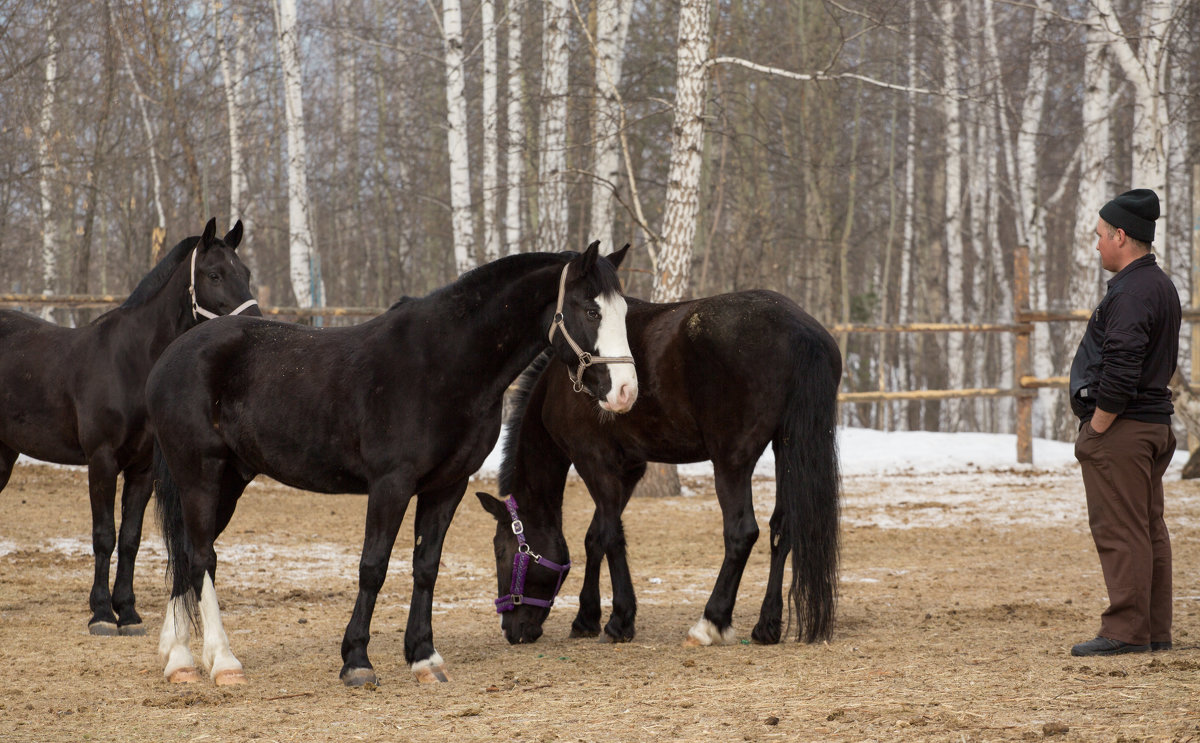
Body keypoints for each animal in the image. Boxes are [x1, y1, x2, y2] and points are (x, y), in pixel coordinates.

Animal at [0, 218, 259, 638]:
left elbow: (130, 539)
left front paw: (129, 612)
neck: (130, 362)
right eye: (214, 274)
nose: (254, 321)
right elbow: (104, 536)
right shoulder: (102, 461)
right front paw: (102, 614)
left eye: (247, 273)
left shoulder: (142, 469)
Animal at [147, 242, 638, 686]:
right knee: (201, 556)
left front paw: (424, 656)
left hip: (229, 480)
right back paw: (222, 662)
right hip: (200, 474)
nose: (626, 391)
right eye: (590, 311)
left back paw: (180, 661)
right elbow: (374, 566)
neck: (443, 364)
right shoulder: (391, 484)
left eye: (624, 313)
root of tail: (173, 355)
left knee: (190, 554)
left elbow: (426, 565)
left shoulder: (447, 485)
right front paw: (357, 661)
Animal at [472, 290, 840, 652]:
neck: (557, 385)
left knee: (742, 533)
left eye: (501, 550)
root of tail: (799, 330)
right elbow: (595, 537)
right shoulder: (629, 470)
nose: (511, 630)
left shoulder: (594, 462)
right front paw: (586, 618)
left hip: (731, 462)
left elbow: (610, 536)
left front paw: (619, 620)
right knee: (784, 528)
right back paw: (767, 625)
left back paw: (711, 622)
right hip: (786, 447)